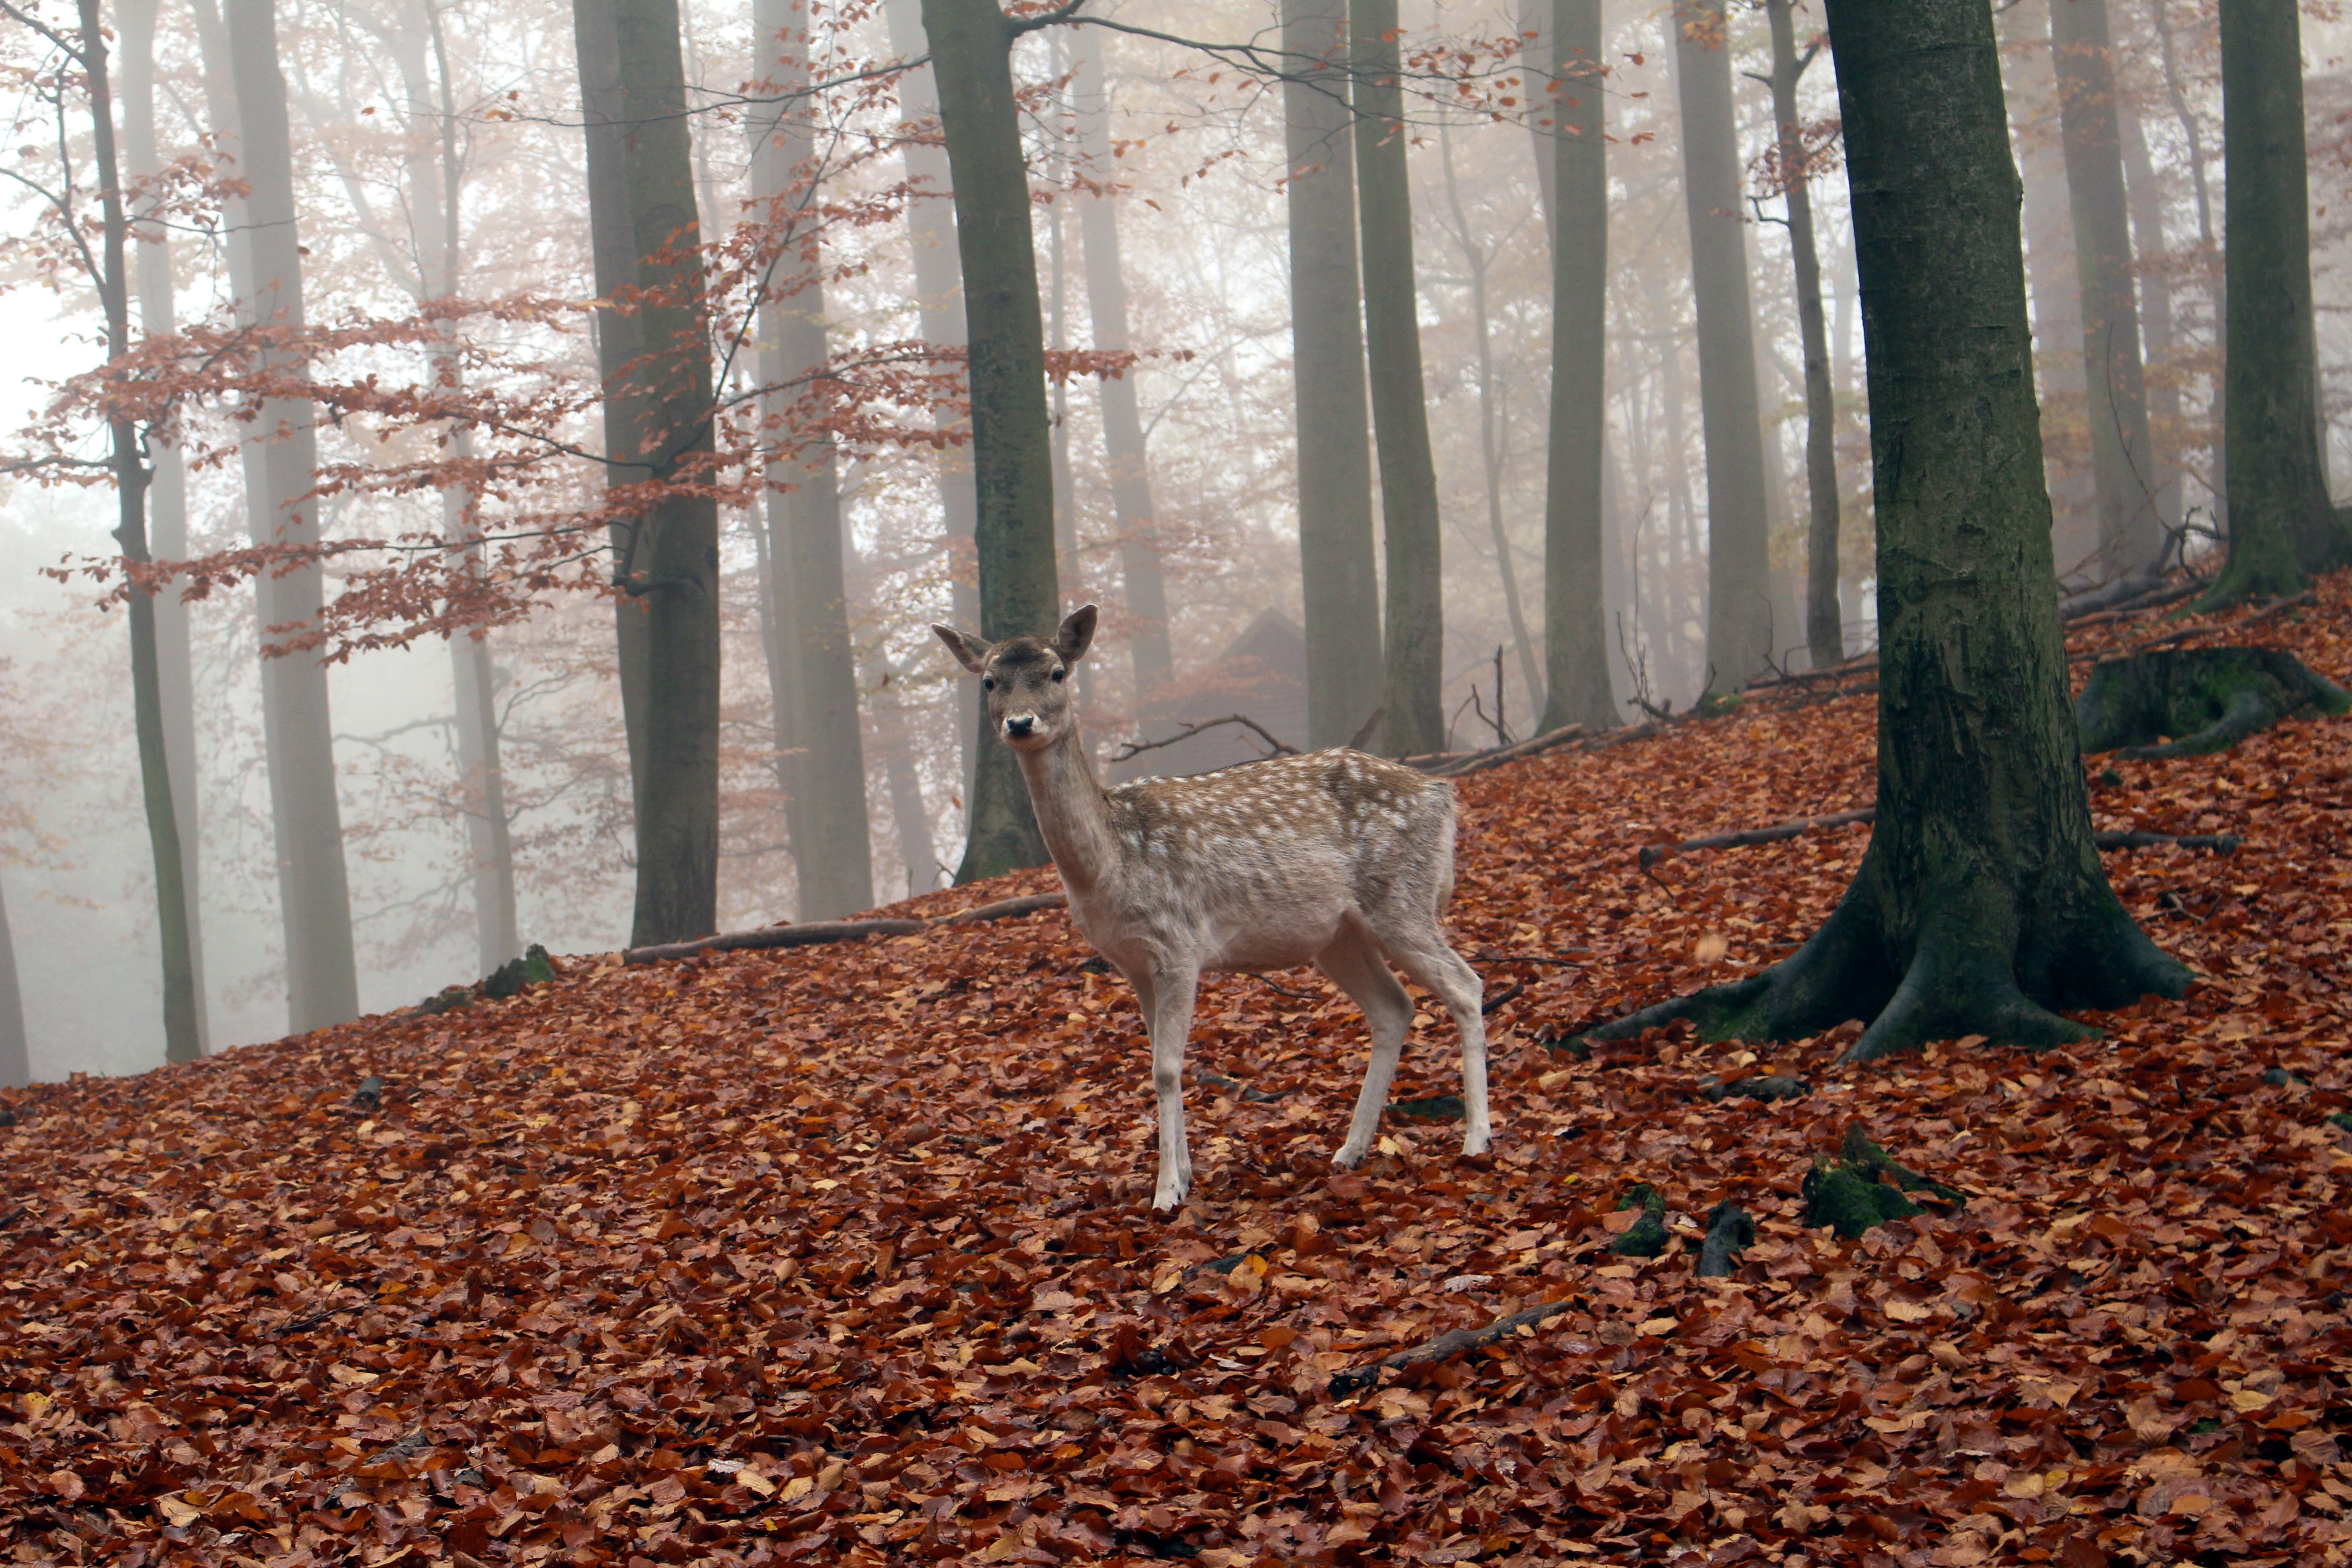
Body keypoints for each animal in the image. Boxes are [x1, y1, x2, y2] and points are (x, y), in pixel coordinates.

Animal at [933, 605, 1490, 1211]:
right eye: (990, 682)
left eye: (1057, 672)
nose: (1020, 723)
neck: (1110, 864)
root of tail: (1442, 795)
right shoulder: (1132, 962)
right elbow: (1159, 1063)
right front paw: (1183, 1176)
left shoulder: (1178, 944)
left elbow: (1167, 1069)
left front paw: (1166, 1194)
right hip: (1339, 936)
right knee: (1394, 1007)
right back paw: (1350, 1150)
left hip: (1401, 897)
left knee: (1467, 986)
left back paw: (1476, 1140)